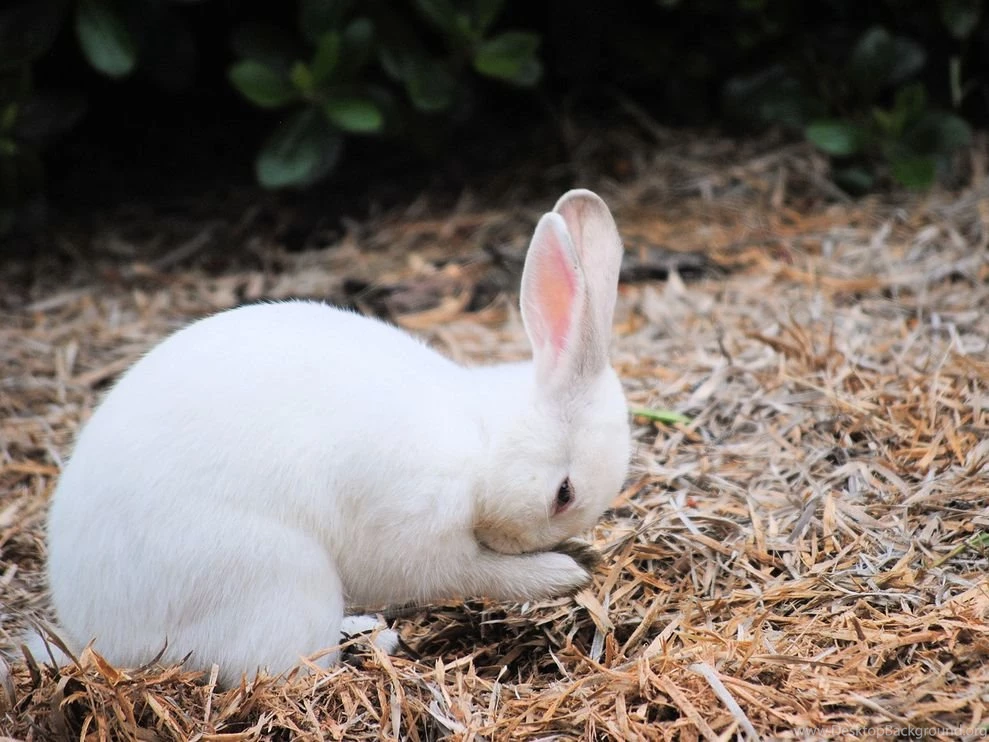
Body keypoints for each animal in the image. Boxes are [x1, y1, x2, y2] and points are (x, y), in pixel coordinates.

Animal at [25, 189, 630, 687]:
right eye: (563, 494)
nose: (547, 544)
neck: (480, 441)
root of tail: (100, 637)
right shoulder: (420, 537)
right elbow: (478, 572)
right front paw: (562, 573)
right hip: (281, 581)